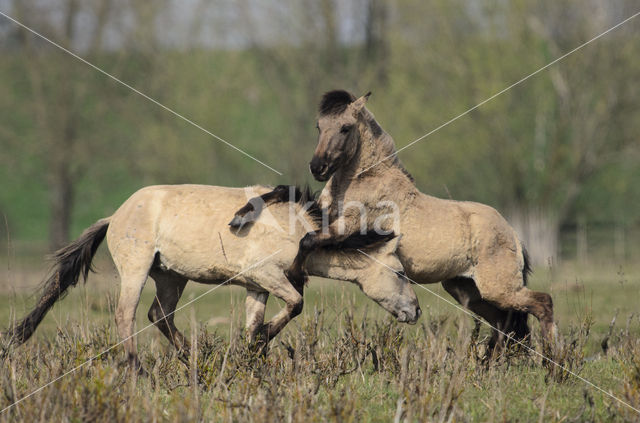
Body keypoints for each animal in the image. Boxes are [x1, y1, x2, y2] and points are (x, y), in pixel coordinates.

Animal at [6, 184, 424, 370]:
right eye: (400, 273)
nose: (416, 311)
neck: (298, 226)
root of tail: (116, 214)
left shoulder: (257, 288)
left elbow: (254, 323)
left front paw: (250, 355)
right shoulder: (266, 275)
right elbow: (296, 304)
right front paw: (261, 342)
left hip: (170, 278)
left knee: (159, 315)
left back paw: (192, 356)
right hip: (136, 272)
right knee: (126, 316)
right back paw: (137, 368)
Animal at [234, 91, 556, 352]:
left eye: (345, 127)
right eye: (319, 126)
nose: (318, 168)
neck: (364, 179)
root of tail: (513, 234)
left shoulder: (347, 228)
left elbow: (308, 239)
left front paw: (295, 274)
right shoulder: (323, 211)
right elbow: (284, 191)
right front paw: (239, 216)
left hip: (499, 289)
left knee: (543, 305)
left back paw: (552, 366)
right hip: (468, 291)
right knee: (504, 326)